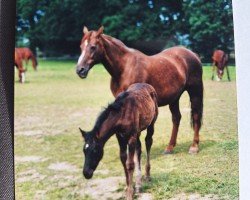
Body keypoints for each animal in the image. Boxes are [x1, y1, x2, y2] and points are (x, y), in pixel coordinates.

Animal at [75, 26, 203, 155]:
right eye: (80, 47)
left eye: (93, 47)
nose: (80, 70)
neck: (125, 68)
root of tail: (192, 54)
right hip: (174, 98)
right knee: (176, 118)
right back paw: (169, 147)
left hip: (195, 91)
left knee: (196, 116)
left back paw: (194, 147)